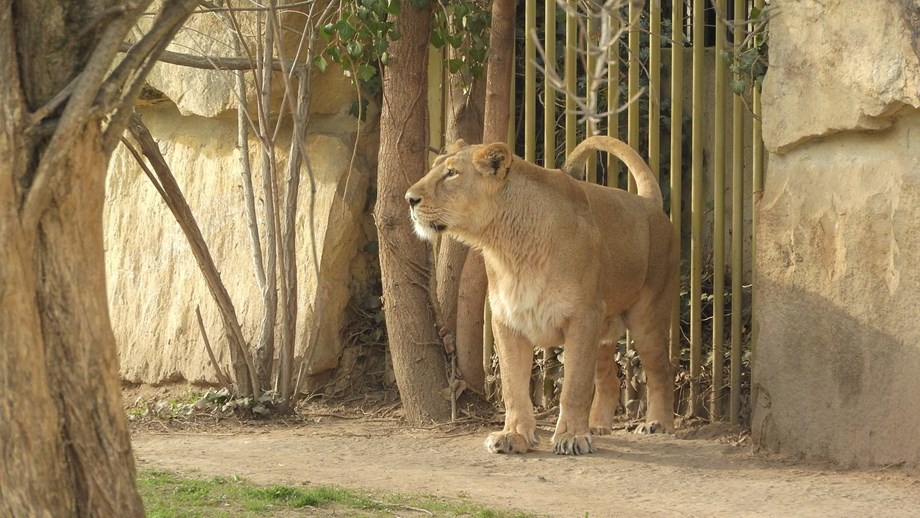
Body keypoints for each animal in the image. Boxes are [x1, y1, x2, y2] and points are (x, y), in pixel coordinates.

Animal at [405, 136, 677, 455]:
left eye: (451, 173)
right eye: (435, 168)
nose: (409, 198)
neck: (510, 247)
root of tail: (648, 202)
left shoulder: (583, 317)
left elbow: (574, 385)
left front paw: (571, 436)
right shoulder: (507, 320)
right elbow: (512, 385)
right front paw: (513, 435)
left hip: (646, 319)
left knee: (661, 371)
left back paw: (657, 424)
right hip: (603, 328)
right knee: (609, 379)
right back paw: (598, 426)